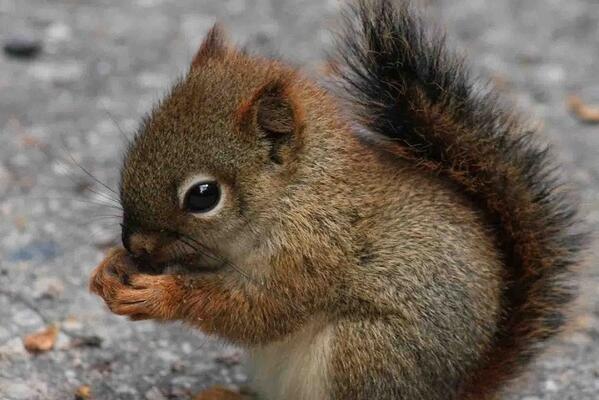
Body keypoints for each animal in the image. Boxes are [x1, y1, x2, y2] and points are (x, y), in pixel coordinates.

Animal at [88, 0, 584, 400]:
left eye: (203, 196)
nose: (136, 244)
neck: (298, 194)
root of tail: (456, 390)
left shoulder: (312, 254)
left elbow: (259, 312)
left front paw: (159, 295)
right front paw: (110, 268)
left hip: (364, 351)